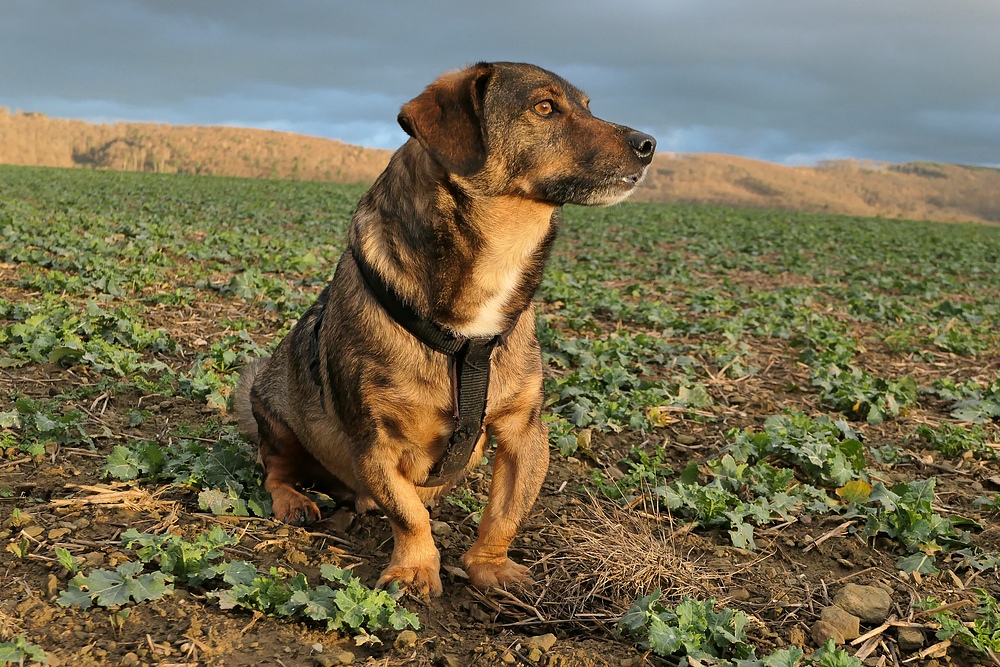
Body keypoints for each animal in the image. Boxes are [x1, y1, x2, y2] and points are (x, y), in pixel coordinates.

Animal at [234, 61, 656, 596]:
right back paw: (295, 500)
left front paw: (491, 566)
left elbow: (506, 511)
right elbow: (408, 513)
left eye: (586, 105)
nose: (649, 144)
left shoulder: (525, 430)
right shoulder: (375, 440)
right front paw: (415, 568)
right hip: (277, 417)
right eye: (544, 107)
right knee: (275, 470)